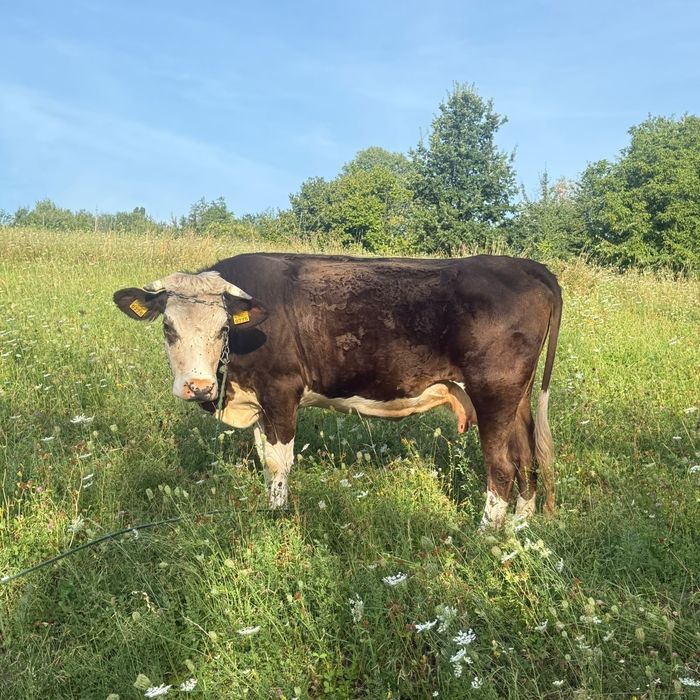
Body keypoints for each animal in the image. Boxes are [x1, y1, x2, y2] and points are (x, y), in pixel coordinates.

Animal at [114, 253, 562, 528]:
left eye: (223, 328)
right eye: (168, 327)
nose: (198, 387)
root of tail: (524, 265)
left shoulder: (281, 390)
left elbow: (279, 462)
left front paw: (275, 517)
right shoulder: (260, 403)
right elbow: (264, 459)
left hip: (494, 391)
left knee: (501, 467)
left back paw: (485, 533)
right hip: (517, 398)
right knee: (526, 457)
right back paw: (520, 524)